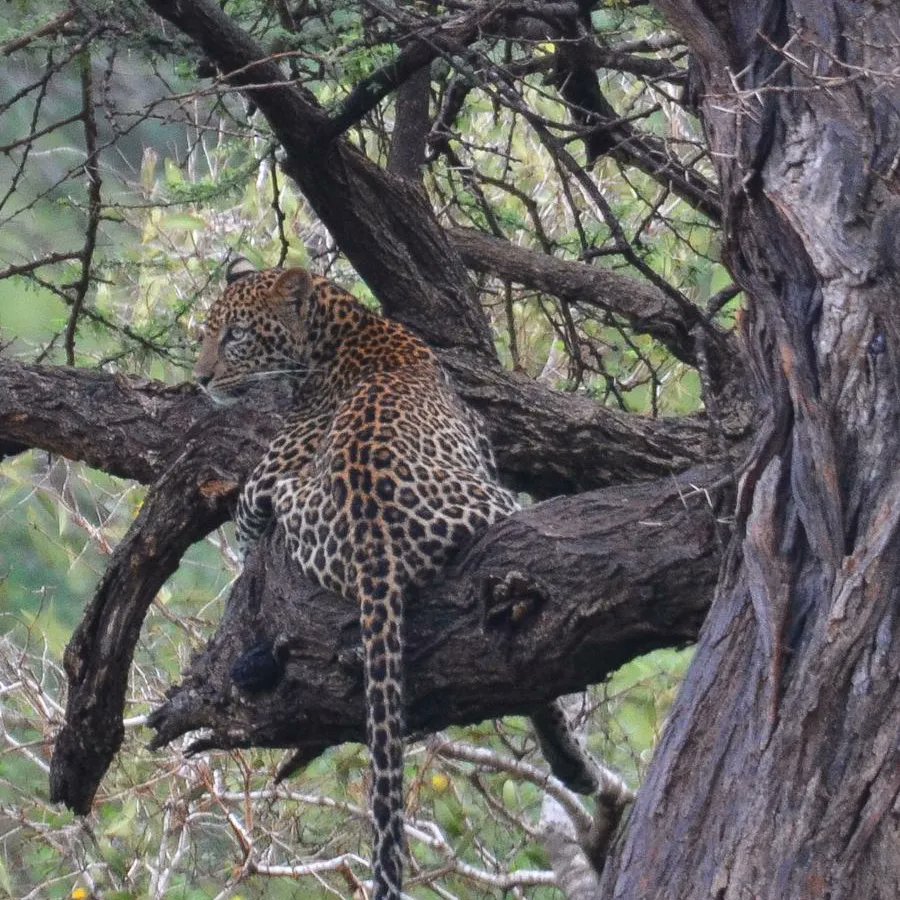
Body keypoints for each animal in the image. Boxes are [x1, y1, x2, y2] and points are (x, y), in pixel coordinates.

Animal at [197, 258, 604, 900]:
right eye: (208, 333)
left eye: (234, 335)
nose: (201, 378)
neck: (342, 326)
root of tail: (375, 544)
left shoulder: (267, 474)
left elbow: (243, 524)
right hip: (494, 510)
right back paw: (570, 763)